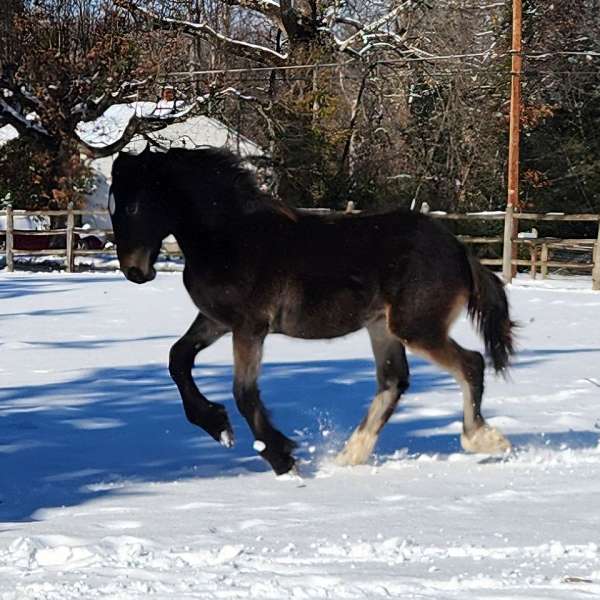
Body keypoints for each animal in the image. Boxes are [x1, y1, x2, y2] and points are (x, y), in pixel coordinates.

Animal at [109, 145, 516, 474]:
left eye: (132, 205)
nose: (134, 271)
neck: (228, 236)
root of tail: (460, 251)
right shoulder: (215, 320)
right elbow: (178, 359)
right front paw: (217, 426)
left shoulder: (249, 326)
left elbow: (244, 392)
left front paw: (282, 458)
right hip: (381, 327)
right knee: (394, 381)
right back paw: (349, 456)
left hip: (416, 327)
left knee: (470, 364)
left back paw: (485, 440)